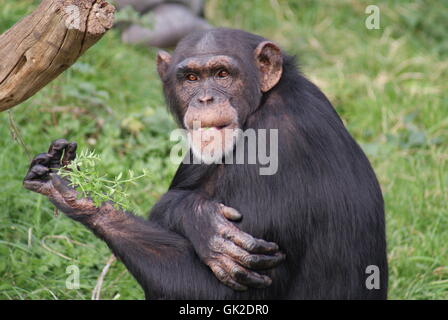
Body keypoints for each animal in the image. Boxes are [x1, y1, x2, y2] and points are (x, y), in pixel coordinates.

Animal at [23, 28, 388, 300]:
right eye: (191, 78)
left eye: (222, 74)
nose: (205, 98)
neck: (261, 104)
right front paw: (199, 220)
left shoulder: (275, 149)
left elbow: (218, 291)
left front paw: (76, 195)